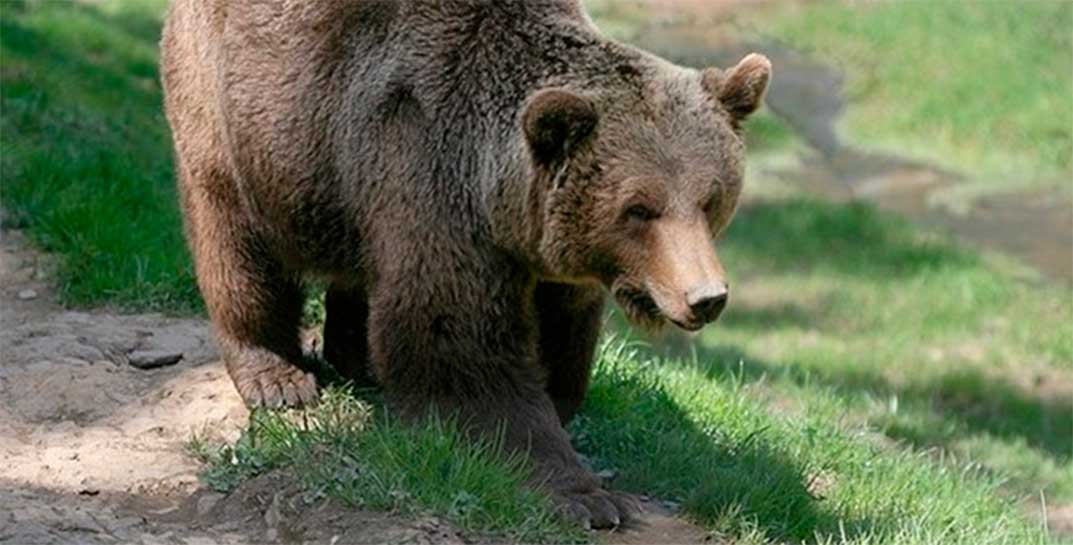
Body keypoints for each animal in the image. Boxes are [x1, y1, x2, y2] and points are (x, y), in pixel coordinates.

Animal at [160, 0, 770, 529]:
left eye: (711, 198)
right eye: (639, 208)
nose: (705, 297)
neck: (498, 200)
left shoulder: (551, 257)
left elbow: (562, 334)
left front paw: (561, 408)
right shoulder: (430, 173)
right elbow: (461, 346)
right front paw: (580, 494)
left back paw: (356, 358)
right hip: (241, 113)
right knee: (238, 242)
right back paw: (278, 377)